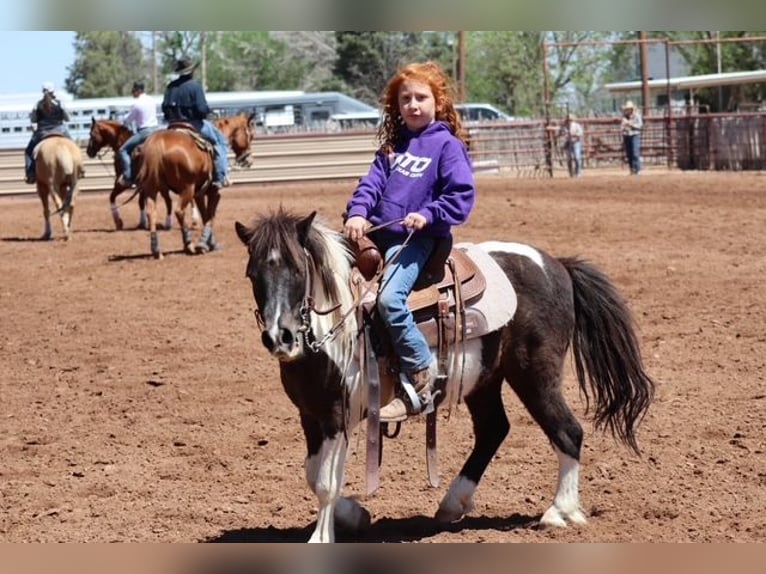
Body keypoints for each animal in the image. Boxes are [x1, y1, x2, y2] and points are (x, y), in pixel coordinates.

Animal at [235, 209, 656, 543]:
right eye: (252, 274)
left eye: (296, 269)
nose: (280, 337)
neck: (340, 323)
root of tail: (556, 265)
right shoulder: (311, 415)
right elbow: (311, 473)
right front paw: (356, 515)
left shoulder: (339, 415)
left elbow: (325, 482)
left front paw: (321, 539)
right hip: (486, 379)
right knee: (493, 429)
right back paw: (454, 503)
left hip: (536, 373)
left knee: (567, 431)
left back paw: (559, 511)